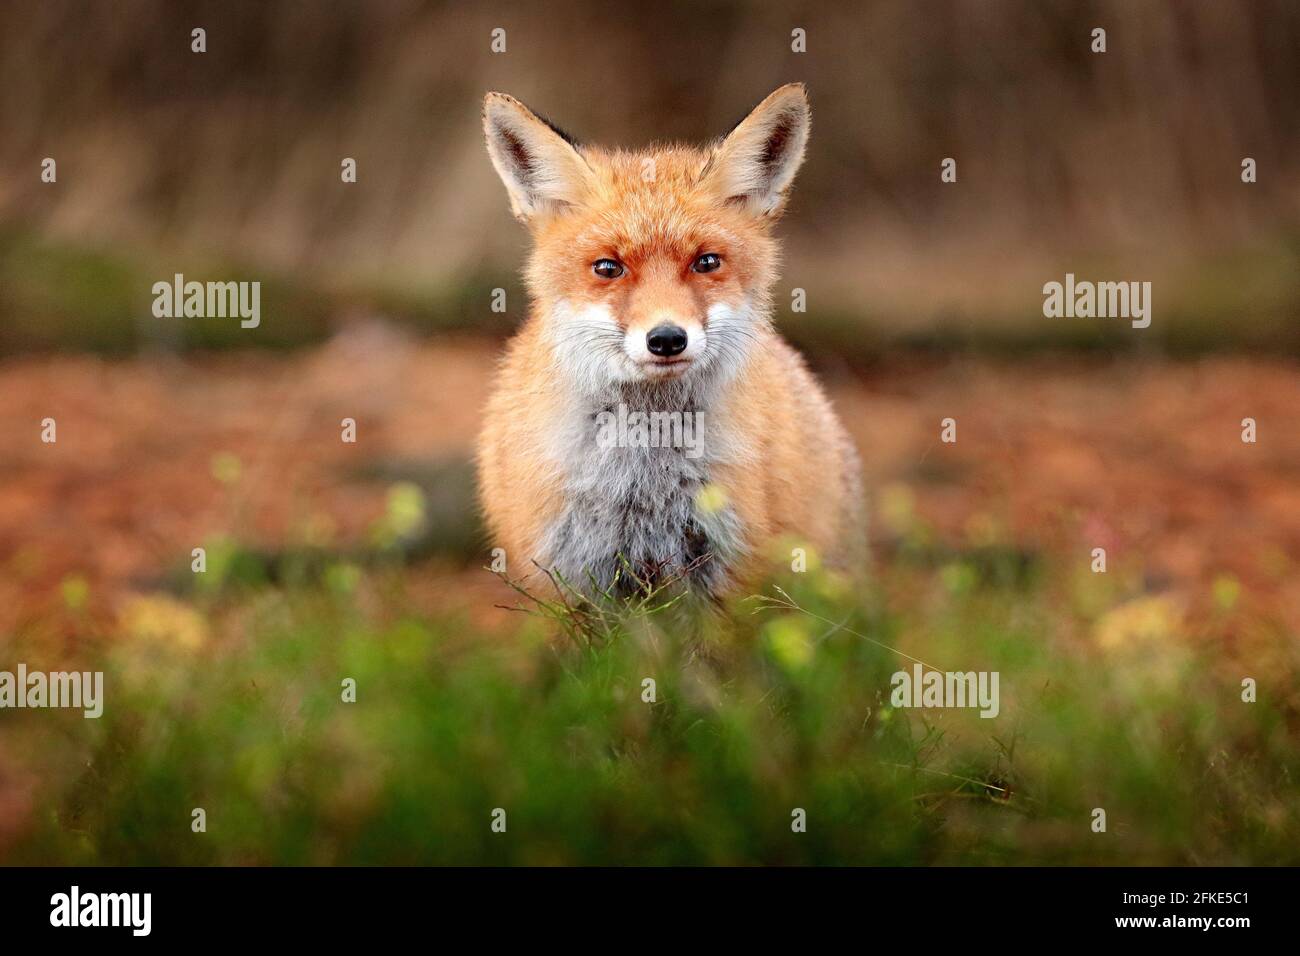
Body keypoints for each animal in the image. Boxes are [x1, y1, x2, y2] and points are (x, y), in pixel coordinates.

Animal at [477, 83, 864, 600]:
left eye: (706, 262)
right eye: (608, 267)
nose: (666, 339)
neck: (643, 471)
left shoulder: (729, 564)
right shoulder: (562, 571)